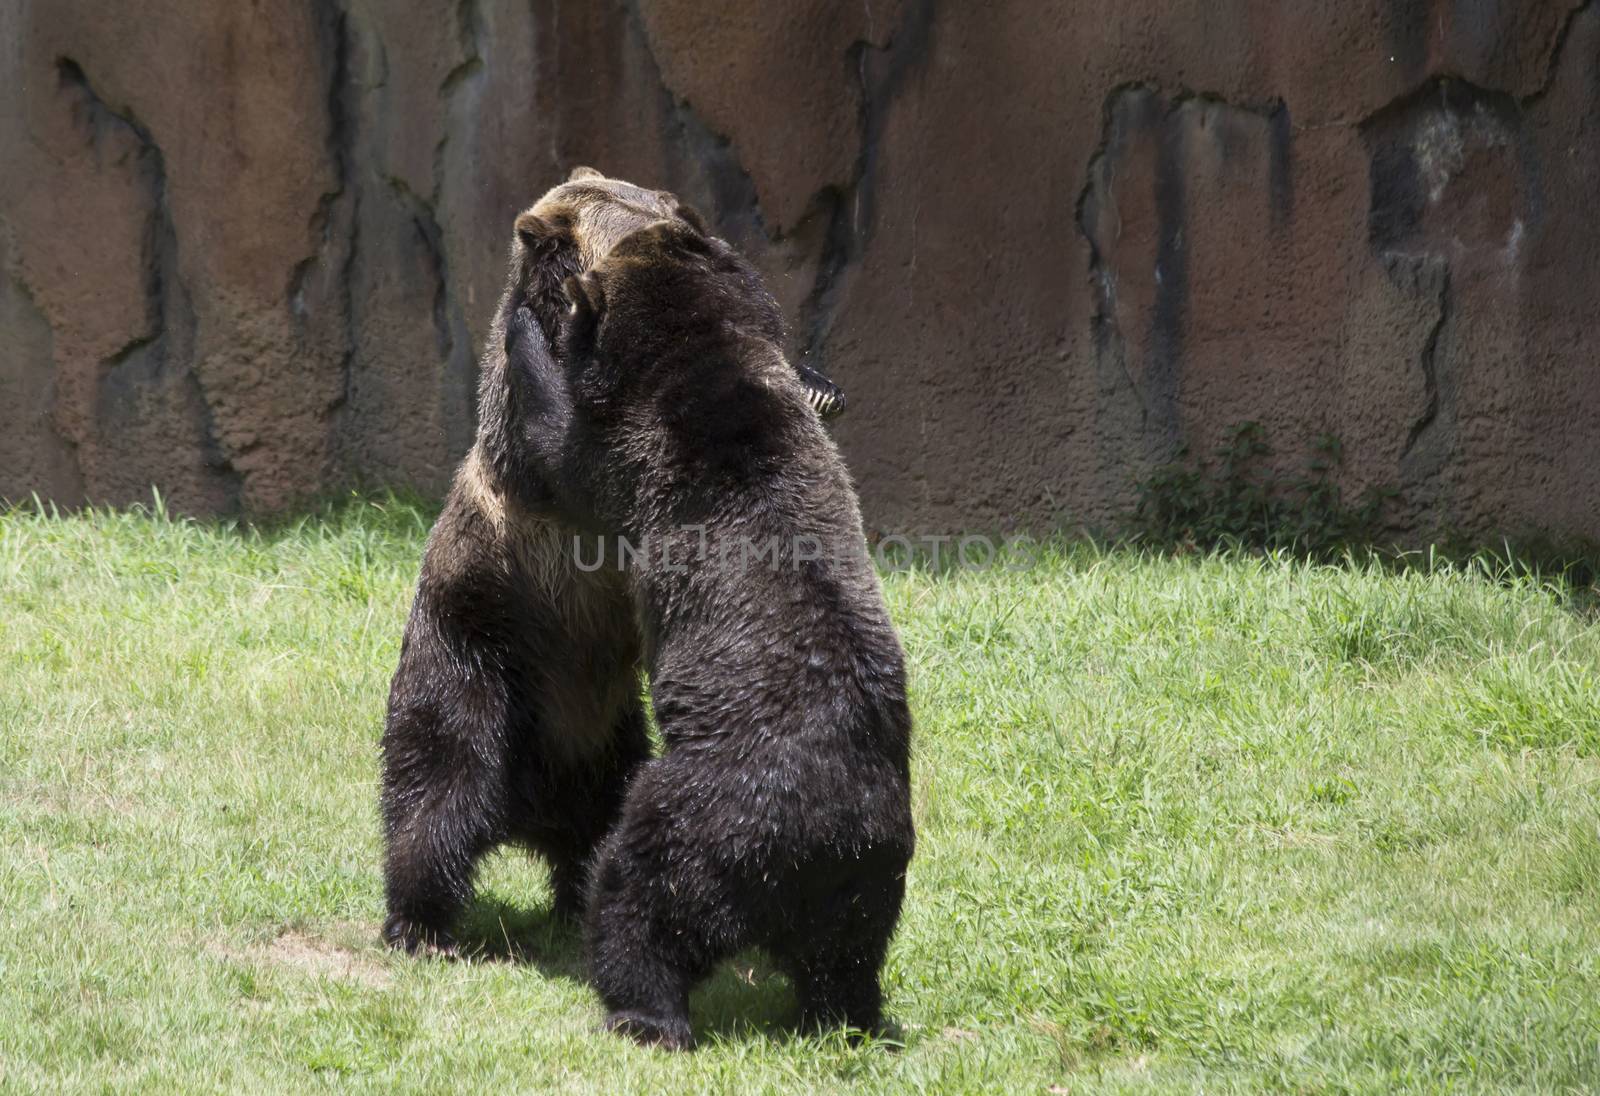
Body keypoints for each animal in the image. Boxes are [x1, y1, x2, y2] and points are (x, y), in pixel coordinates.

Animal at [379, 166, 844, 953]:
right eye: (658, 223)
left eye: (678, 209)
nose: (710, 240)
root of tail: (529, 812)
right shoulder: (541, 469)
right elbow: (570, 446)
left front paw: (818, 381)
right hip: (480, 650)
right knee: (437, 786)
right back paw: (417, 918)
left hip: (608, 727)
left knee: (604, 812)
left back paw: (579, 895)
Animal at [505, 217, 921, 1049]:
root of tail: (815, 847)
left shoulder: (633, 455)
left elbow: (564, 450)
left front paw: (529, 328)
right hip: (872, 875)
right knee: (848, 958)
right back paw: (848, 1016)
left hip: (701, 813)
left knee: (641, 898)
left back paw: (641, 1012)